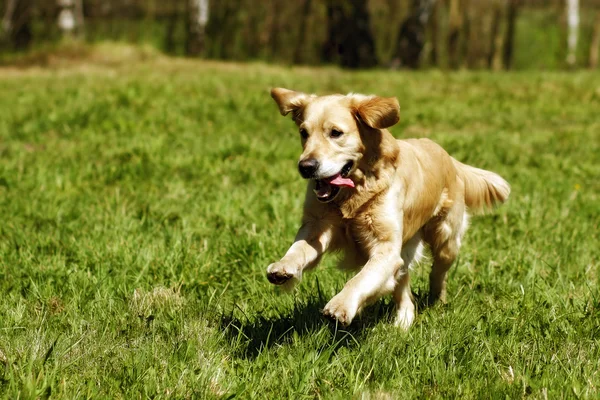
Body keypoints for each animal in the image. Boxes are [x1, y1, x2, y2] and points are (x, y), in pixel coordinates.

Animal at [264, 87, 508, 328]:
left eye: (335, 133)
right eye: (304, 133)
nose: (305, 167)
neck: (354, 193)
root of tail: (448, 157)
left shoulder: (386, 248)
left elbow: (360, 279)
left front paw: (340, 305)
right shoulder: (318, 224)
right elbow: (299, 248)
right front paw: (283, 267)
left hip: (446, 240)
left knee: (438, 273)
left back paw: (436, 301)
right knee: (403, 288)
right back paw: (403, 322)